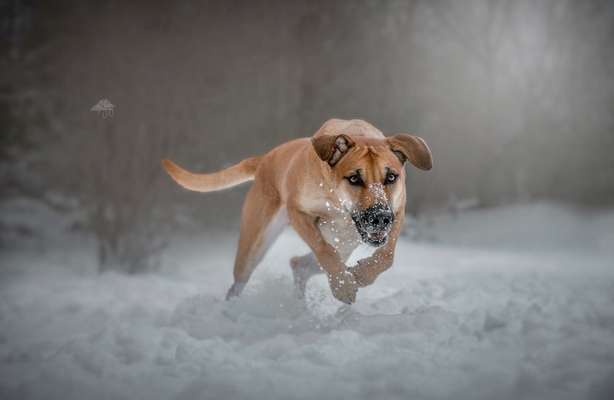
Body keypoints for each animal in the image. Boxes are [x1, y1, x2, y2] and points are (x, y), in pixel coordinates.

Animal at [164, 119, 434, 304]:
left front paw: (360, 275)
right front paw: (343, 286)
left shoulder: (397, 211)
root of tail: (266, 158)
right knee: (241, 280)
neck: (336, 200)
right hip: (255, 243)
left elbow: (386, 256)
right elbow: (324, 251)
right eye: (354, 178)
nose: (379, 217)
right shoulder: (299, 212)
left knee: (300, 265)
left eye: (391, 177)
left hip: (345, 241)